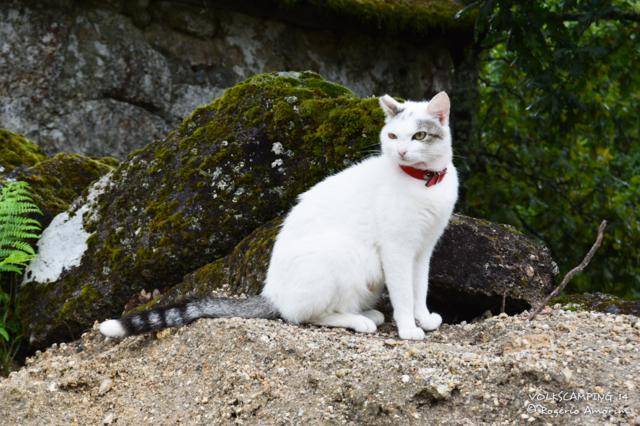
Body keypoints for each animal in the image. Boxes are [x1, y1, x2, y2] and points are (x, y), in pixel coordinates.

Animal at [100, 91, 458, 342]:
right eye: (393, 136)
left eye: (419, 136)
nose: (401, 151)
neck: (423, 183)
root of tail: (270, 292)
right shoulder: (396, 250)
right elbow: (403, 293)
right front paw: (408, 327)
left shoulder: (423, 250)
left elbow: (419, 288)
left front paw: (423, 319)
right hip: (342, 255)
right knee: (303, 315)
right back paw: (360, 320)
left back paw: (368, 312)